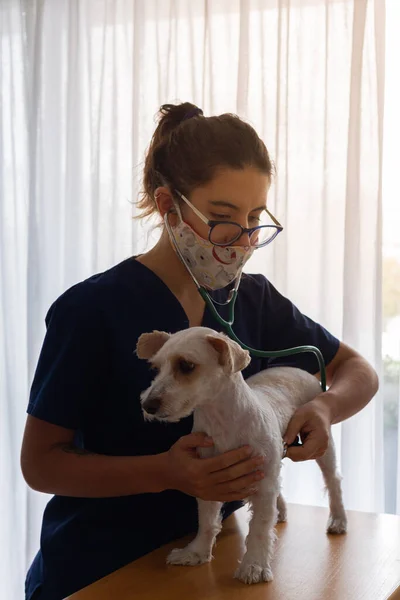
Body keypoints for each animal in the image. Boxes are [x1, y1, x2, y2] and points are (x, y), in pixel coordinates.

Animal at [135, 326, 346, 584]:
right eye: (155, 368)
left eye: (186, 365)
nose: (148, 405)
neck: (221, 422)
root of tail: (299, 369)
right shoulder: (208, 480)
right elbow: (207, 522)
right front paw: (196, 552)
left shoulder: (263, 487)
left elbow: (259, 528)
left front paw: (254, 565)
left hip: (321, 447)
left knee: (333, 481)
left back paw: (338, 519)